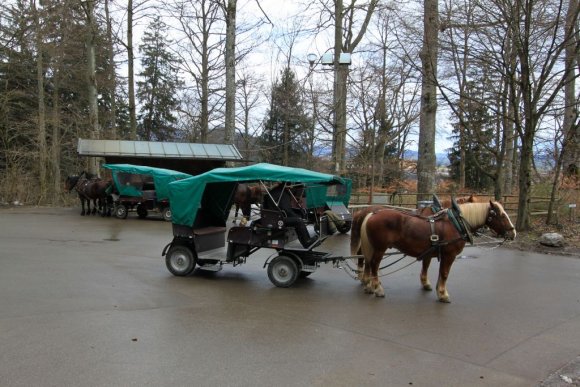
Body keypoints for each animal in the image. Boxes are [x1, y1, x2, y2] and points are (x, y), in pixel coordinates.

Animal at [352, 202, 516, 304]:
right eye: (502, 215)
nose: (513, 233)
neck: (456, 224)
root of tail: (372, 213)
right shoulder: (449, 255)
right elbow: (444, 274)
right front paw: (443, 294)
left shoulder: (430, 252)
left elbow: (430, 268)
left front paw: (431, 286)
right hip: (380, 248)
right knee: (374, 265)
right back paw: (377, 288)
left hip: (373, 247)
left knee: (368, 262)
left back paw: (368, 284)